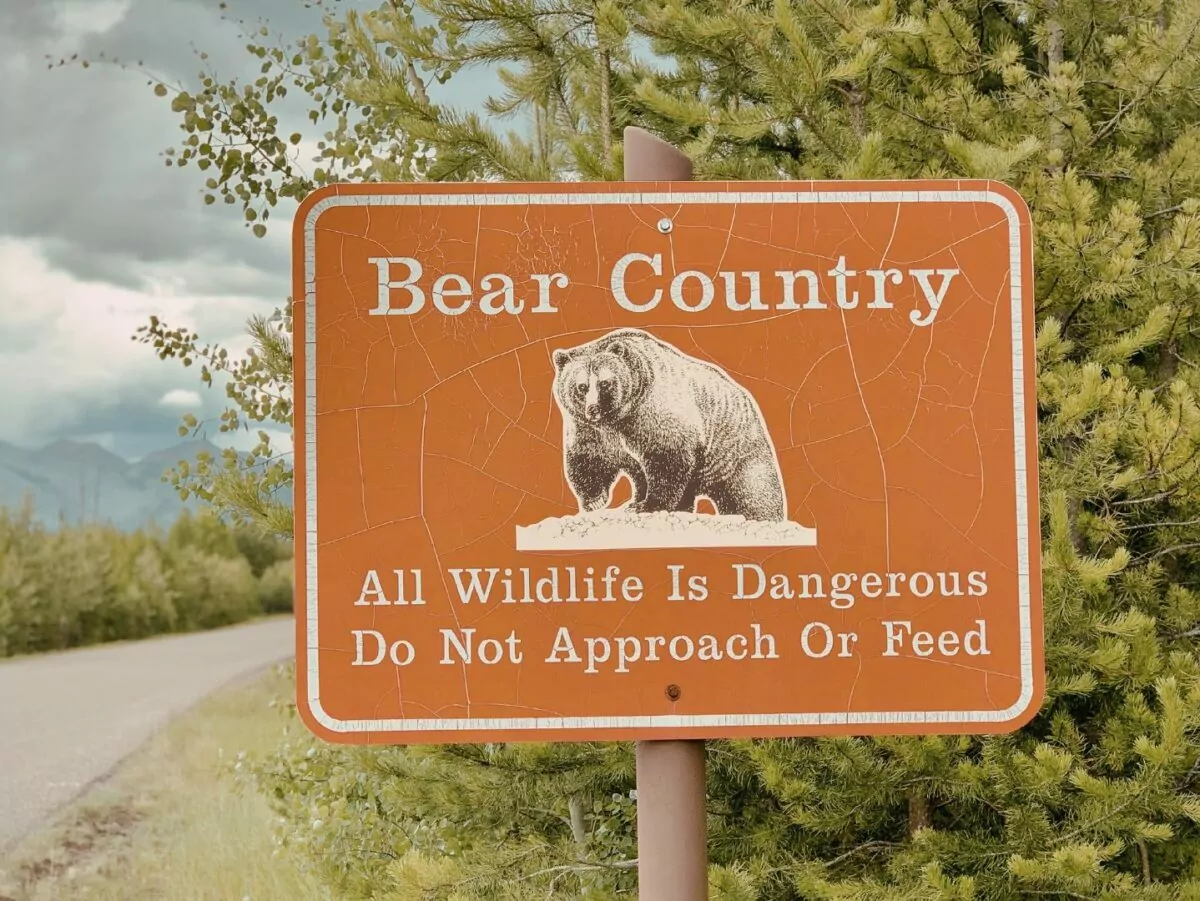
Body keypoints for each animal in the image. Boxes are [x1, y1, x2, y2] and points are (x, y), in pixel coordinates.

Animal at [550, 327, 787, 522]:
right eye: (581, 386)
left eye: (605, 383)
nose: (593, 409)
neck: (617, 419)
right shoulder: (589, 429)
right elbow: (588, 457)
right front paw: (595, 500)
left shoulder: (654, 416)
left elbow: (667, 459)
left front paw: (649, 505)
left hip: (733, 453)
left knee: (753, 493)